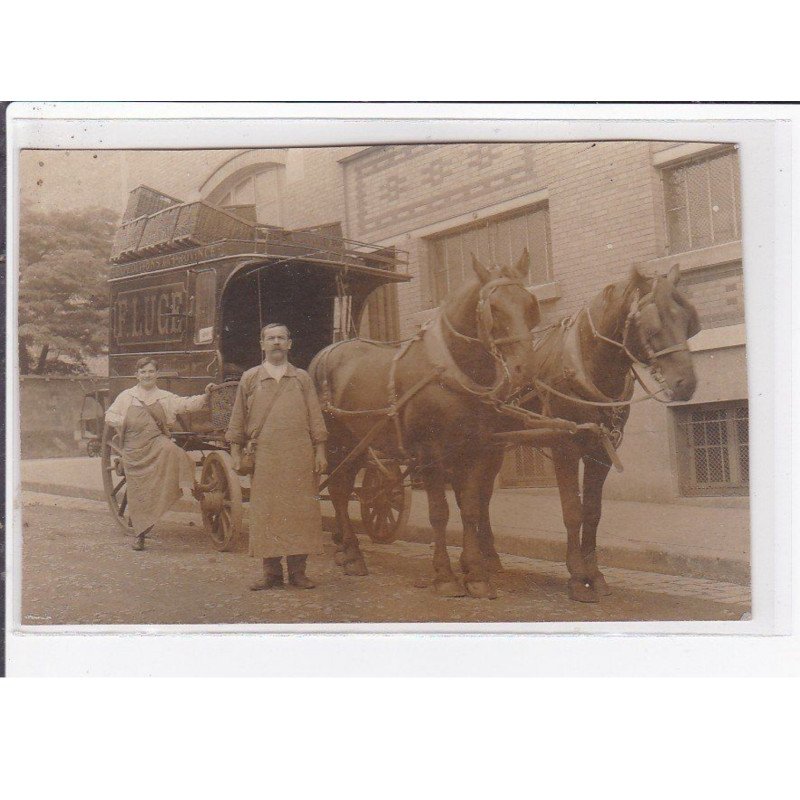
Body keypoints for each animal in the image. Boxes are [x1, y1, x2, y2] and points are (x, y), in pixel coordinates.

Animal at [310, 253, 540, 596]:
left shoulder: (477, 450)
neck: (453, 371)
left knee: (344, 489)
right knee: (338, 491)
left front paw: (476, 573)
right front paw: (444, 575)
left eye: (529, 305)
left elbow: (471, 508)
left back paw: (346, 550)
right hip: (339, 441)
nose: (525, 368)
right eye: (494, 308)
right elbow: (439, 513)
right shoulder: (431, 454)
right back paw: (352, 555)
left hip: (360, 443)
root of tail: (324, 354)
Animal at [478, 262, 696, 600]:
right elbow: (572, 510)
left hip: (494, 445)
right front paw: (577, 577)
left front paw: (594, 574)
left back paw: (488, 557)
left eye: (687, 321)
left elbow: (593, 511)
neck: (585, 367)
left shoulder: (602, 450)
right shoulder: (564, 446)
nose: (687, 383)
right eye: (652, 327)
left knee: (482, 495)